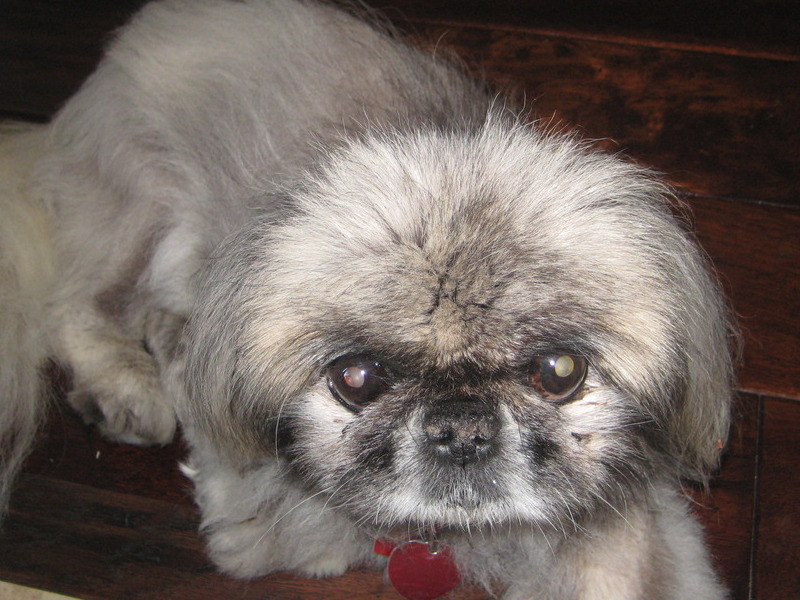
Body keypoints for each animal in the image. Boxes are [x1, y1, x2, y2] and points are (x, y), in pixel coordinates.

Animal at [0, 2, 736, 596]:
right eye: (356, 378)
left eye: (560, 372)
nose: (461, 423)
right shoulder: (247, 508)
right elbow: (301, 533)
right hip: (136, 201)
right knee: (78, 302)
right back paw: (126, 384)